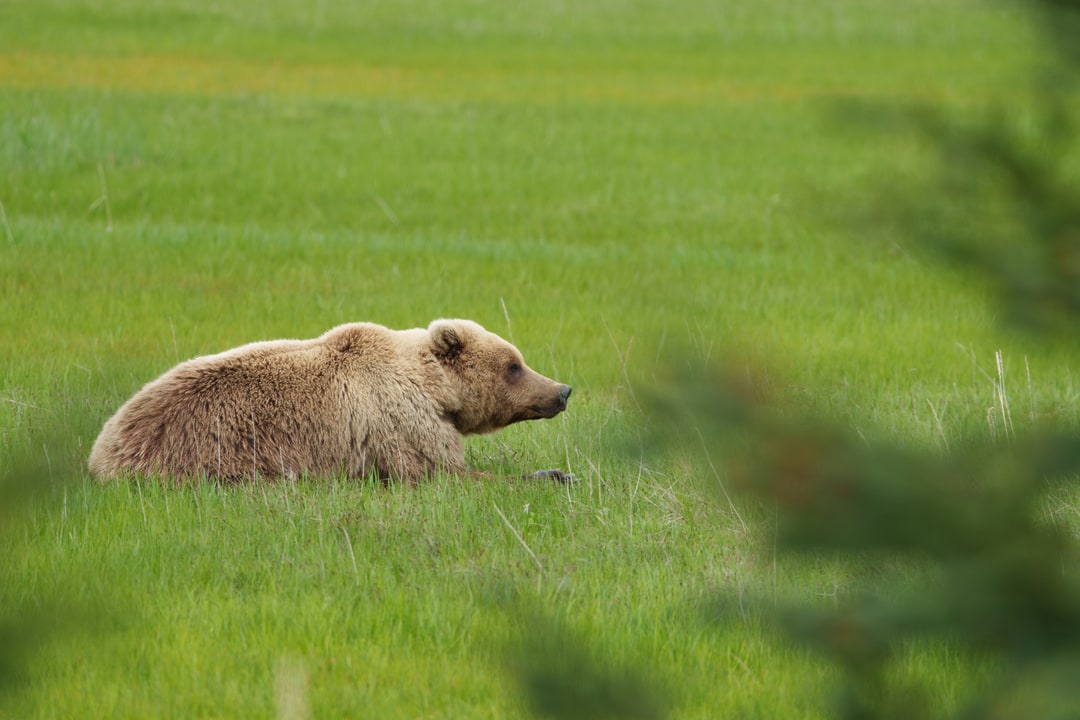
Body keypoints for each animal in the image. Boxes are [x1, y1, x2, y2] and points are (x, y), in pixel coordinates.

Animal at [88, 319, 572, 483]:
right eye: (513, 364)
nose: (562, 391)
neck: (435, 390)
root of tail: (101, 453)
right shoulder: (400, 421)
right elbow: (442, 473)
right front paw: (555, 476)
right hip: (212, 449)